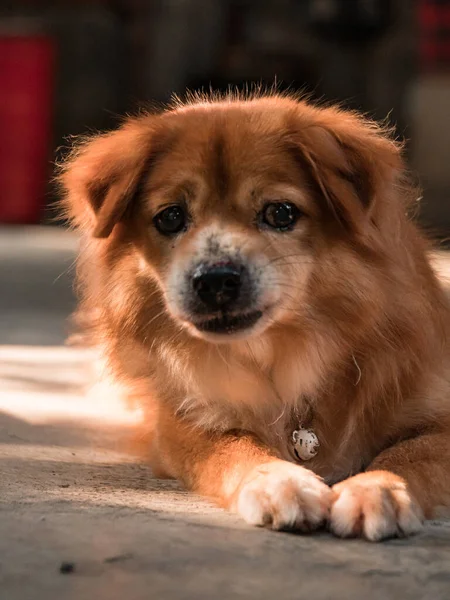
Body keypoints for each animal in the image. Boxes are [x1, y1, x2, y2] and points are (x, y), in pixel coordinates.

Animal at [59, 91, 450, 540]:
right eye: (171, 217)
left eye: (281, 213)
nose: (214, 280)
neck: (288, 356)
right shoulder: (182, 422)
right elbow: (233, 448)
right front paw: (279, 481)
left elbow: (412, 453)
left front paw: (378, 488)